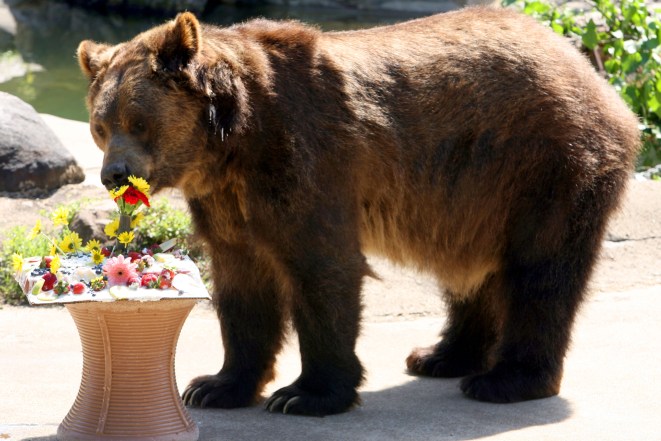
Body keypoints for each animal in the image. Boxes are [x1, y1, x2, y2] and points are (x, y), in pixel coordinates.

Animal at [77, 7, 640, 416]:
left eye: (138, 119)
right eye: (101, 125)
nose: (114, 174)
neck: (230, 145)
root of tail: (584, 66)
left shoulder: (307, 160)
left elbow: (322, 269)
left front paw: (305, 394)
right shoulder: (227, 204)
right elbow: (243, 288)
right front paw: (215, 385)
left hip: (544, 164)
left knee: (540, 273)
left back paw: (506, 379)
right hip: (472, 196)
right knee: (470, 272)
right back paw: (440, 355)